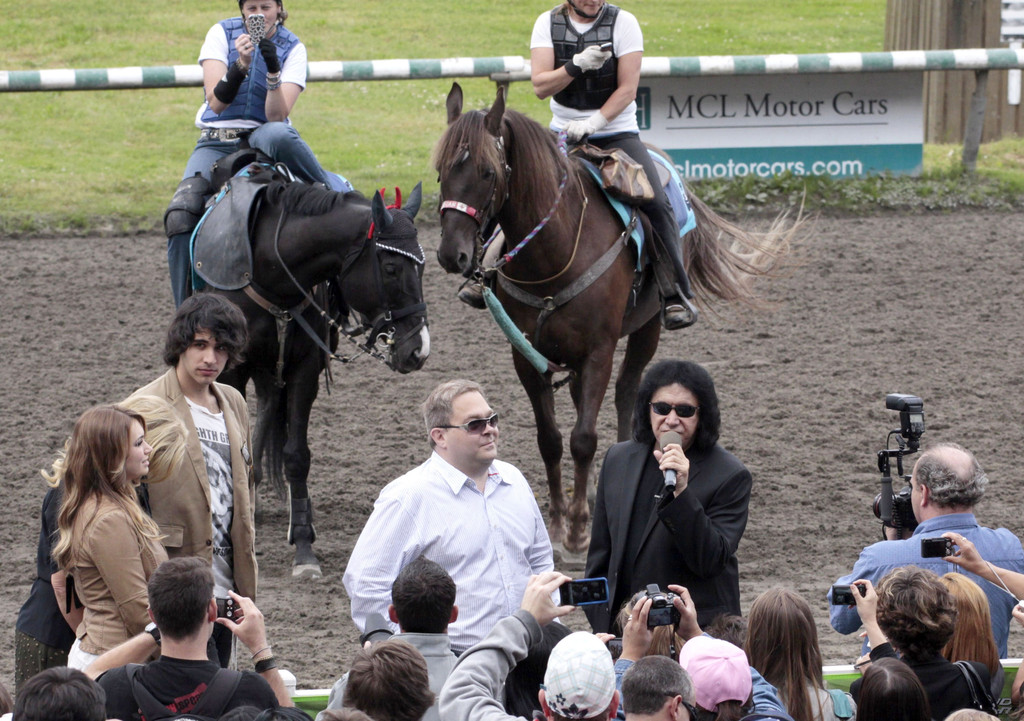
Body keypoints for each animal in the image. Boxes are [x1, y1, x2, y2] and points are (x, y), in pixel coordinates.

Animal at [205, 170, 430, 581]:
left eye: (422, 266)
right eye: (391, 268)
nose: (417, 349)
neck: (272, 269)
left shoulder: (304, 366)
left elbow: (296, 455)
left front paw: (304, 547)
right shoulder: (231, 370)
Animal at [432, 82, 790, 553]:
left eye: (488, 173)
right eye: (440, 172)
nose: (451, 254)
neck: (555, 251)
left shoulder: (599, 350)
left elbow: (584, 438)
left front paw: (579, 529)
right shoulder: (526, 356)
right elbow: (550, 440)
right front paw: (556, 521)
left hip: (647, 329)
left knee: (626, 392)